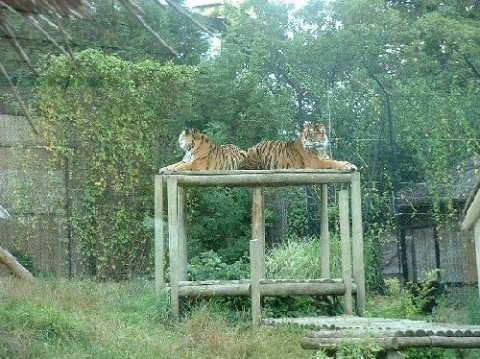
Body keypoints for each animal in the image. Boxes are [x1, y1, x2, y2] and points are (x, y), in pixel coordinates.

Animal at [160, 124, 356, 174]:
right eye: (312, 134)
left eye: (321, 133)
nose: (320, 141)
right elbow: (177, 164)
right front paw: (165, 168)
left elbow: (334, 161)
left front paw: (350, 164)